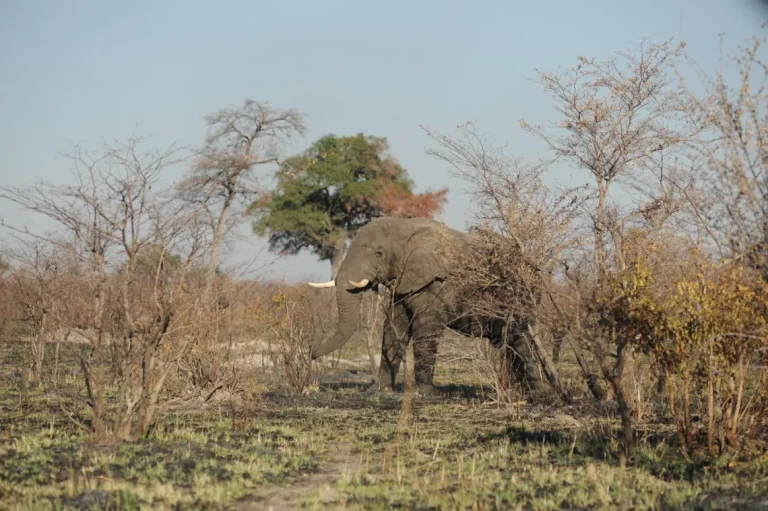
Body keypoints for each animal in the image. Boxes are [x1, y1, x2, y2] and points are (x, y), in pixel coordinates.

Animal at [307, 216, 552, 397]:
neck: (405, 227)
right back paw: (519, 390)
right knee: (507, 341)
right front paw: (379, 391)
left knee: (519, 339)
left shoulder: (437, 284)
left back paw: (537, 393)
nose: (311, 353)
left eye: (379, 253)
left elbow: (426, 327)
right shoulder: (403, 284)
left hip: (523, 297)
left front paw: (426, 393)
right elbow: (394, 327)